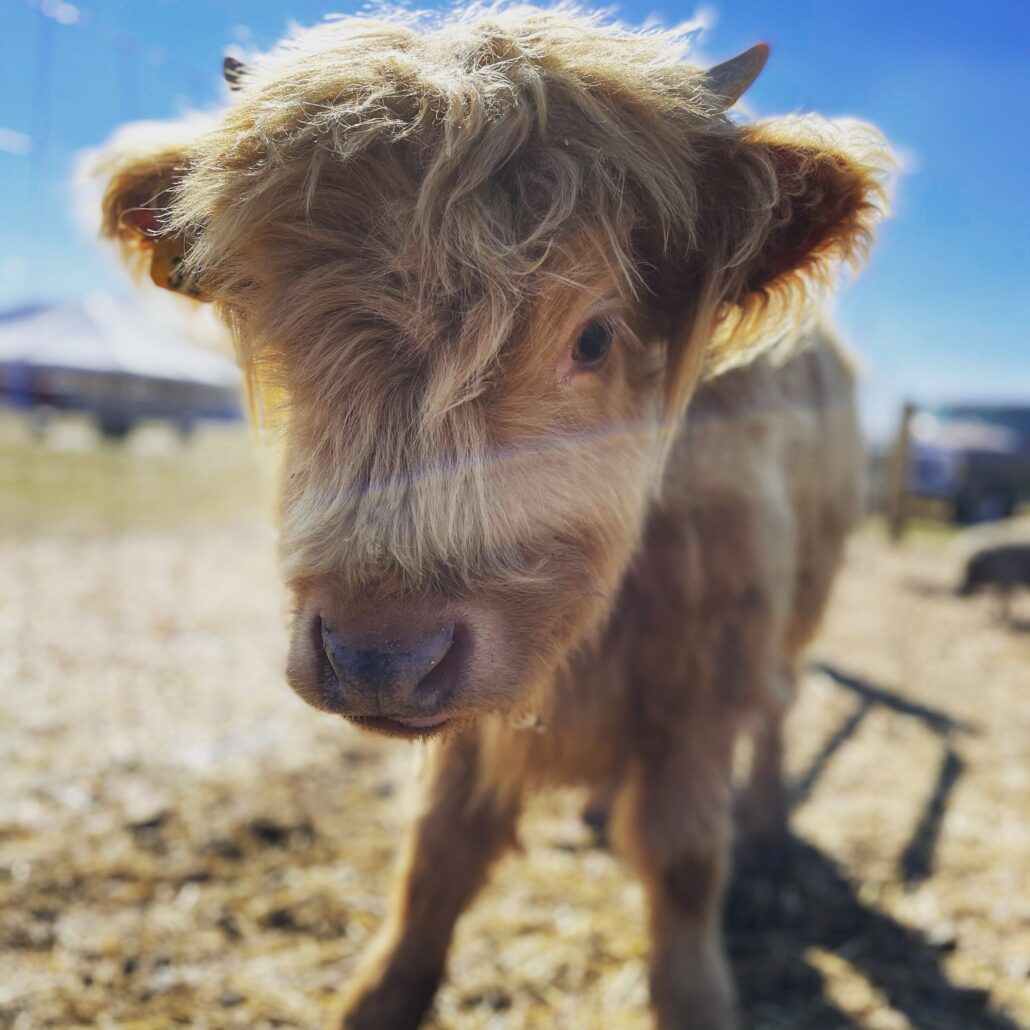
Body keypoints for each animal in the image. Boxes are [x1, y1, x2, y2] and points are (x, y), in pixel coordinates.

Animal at [90, 9, 889, 1027]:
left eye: (593, 337)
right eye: (280, 324)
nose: (378, 659)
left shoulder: (708, 673)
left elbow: (683, 862)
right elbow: (438, 854)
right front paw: (380, 994)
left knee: (780, 714)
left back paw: (775, 842)